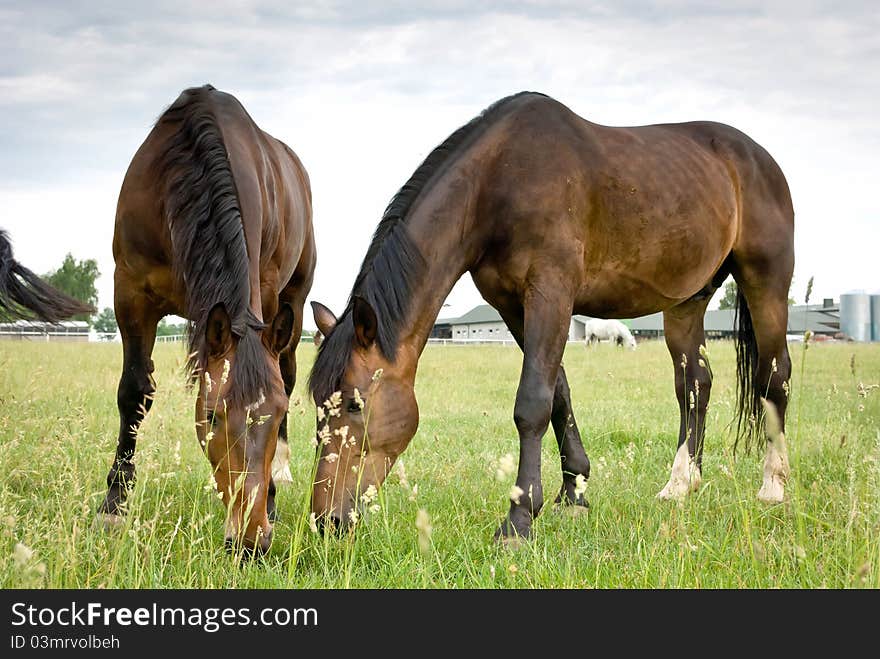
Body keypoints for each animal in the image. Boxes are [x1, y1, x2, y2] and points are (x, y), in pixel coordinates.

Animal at [99, 85, 316, 556]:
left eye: (276, 414)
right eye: (213, 415)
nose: (251, 540)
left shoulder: (265, 294)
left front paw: (271, 497)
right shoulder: (129, 293)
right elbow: (133, 392)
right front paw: (114, 503)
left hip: (294, 300)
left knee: (289, 369)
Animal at [308, 91, 792, 540]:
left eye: (354, 403)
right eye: (316, 404)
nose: (326, 519)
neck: (499, 180)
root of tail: (758, 157)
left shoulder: (551, 292)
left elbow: (533, 402)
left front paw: (520, 517)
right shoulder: (512, 305)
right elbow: (559, 392)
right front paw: (573, 492)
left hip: (766, 282)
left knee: (774, 376)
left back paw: (773, 487)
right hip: (687, 301)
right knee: (694, 386)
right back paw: (680, 484)